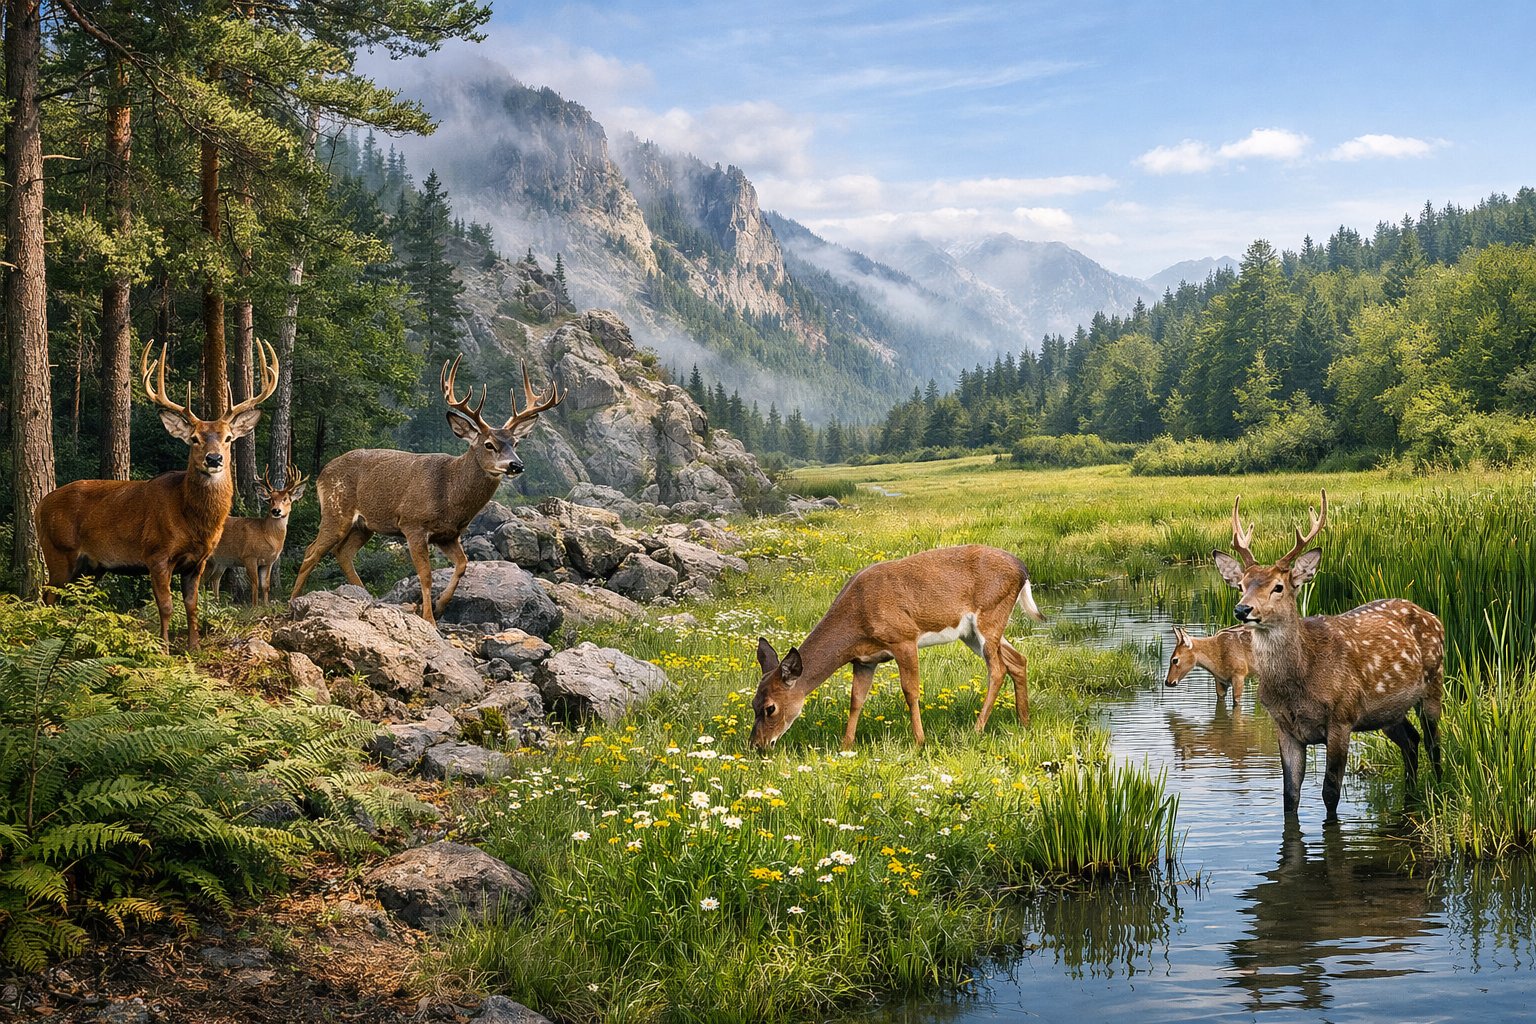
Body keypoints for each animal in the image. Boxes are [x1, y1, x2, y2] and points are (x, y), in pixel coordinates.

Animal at [35, 338, 279, 649]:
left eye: (227, 438)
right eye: (194, 439)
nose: (214, 459)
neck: (191, 519)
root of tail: (39, 506)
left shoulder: (197, 562)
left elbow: (192, 606)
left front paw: (194, 646)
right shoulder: (157, 554)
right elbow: (166, 606)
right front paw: (163, 647)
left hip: (90, 566)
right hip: (58, 551)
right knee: (47, 596)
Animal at [206, 465, 309, 604]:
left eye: (286, 499)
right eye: (270, 499)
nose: (276, 511)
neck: (268, 536)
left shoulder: (268, 562)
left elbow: (265, 585)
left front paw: (265, 605)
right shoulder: (249, 555)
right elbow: (255, 583)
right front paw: (254, 606)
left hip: (222, 560)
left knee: (214, 579)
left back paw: (216, 603)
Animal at [289, 357, 563, 626]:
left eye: (515, 443)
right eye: (489, 444)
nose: (517, 465)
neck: (450, 494)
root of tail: (322, 473)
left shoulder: (448, 534)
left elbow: (463, 564)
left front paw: (440, 607)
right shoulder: (413, 523)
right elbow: (426, 574)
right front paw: (429, 617)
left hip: (364, 525)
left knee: (342, 553)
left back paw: (367, 597)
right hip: (336, 510)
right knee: (312, 552)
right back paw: (292, 601)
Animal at [749, 544, 1048, 751]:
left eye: (770, 708)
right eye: (752, 704)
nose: (756, 745)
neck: (857, 619)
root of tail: (1023, 569)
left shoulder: (903, 638)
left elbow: (910, 691)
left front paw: (920, 740)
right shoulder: (864, 660)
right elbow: (856, 699)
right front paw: (846, 744)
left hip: (990, 615)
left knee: (997, 669)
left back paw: (977, 728)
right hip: (973, 632)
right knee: (1018, 659)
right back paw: (1024, 721)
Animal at [1211, 490, 1443, 819]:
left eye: (1278, 587)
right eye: (1241, 585)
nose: (1243, 609)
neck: (1298, 686)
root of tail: (1432, 616)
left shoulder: (1342, 717)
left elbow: (1330, 791)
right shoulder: (1284, 727)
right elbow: (1289, 796)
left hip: (1434, 682)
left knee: (1434, 743)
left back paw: (1439, 788)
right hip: (1388, 712)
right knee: (1411, 741)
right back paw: (1410, 796)